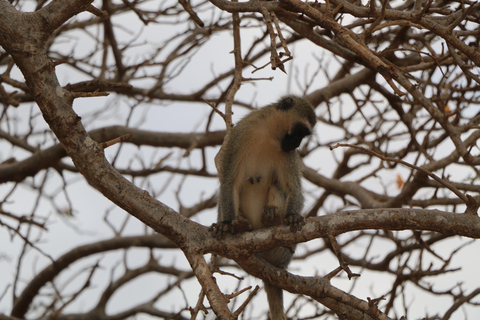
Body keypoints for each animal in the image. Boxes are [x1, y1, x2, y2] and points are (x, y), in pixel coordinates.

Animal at [209, 95, 316, 320]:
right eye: (299, 132)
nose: (297, 144)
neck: (269, 134)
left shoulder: (289, 155)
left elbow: (293, 188)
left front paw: (293, 216)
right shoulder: (239, 136)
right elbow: (228, 181)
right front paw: (225, 224)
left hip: (282, 253)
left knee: (277, 185)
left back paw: (273, 219)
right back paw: (239, 225)